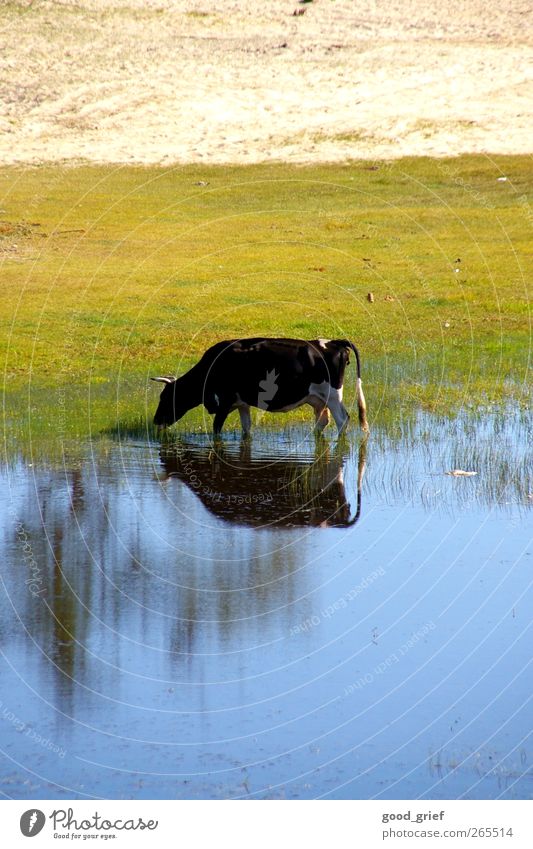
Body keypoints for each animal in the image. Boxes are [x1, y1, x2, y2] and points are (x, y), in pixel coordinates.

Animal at [149, 334, 366, 434]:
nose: (156, 421)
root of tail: (334, 342)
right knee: (322, 422)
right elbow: (246, 429)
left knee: (342, 420)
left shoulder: (224, 403)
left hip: (333, 395)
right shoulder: (241, 404)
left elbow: (216, 429)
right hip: (318, 399)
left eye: (165, 397)